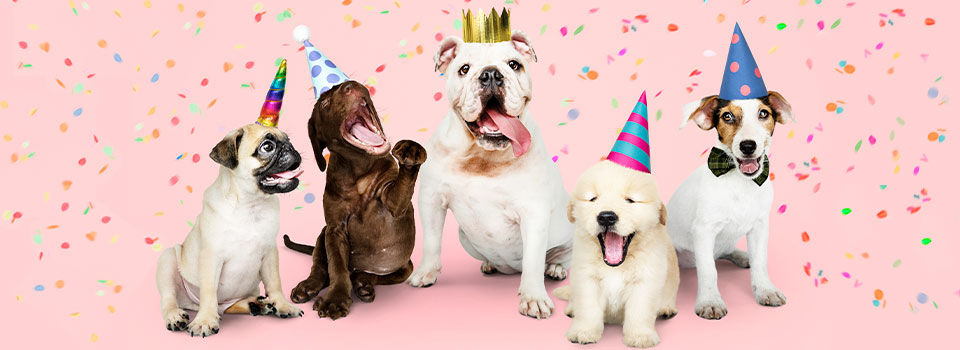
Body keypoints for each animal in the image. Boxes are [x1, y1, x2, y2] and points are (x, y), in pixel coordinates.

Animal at [156, 124, 304, 338]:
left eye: (289, 140)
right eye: (267, 147)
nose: (290, 148)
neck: (250, 204)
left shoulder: (270, 253)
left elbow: (275, 283)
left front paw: (283, 305)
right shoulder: (211, 257)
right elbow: (209, 291)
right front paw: (205, 321)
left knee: (230, 306)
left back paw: (257, 305)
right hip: (168, 260)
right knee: (169, 298)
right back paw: (175, 316)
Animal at [282, 81, 424, 320]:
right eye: (325, 103)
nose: (351, 86)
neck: (360, 168)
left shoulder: (394, 203)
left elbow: (401, 187)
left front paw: (411, 151)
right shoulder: (335, 229)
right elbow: (337, 267)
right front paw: (336, 298)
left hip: (405, 266)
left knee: (379, 276)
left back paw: (363, 284)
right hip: (322, 235)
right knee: (320, 267)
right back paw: (308, 287)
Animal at [404, 29, 568, 318]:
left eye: (514, 64)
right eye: (464, 69)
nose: (491, 74)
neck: (482, 157)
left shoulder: (534, 214)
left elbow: (534, 260)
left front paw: (534, 297)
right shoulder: (431, 200)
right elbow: (432, 241)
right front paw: (426, 273)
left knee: (559, 257)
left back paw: (556, 267)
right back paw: (491, 264)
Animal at [552, 161, 680, 348]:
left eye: (630, 200)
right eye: (593, 198)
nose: (606, 217)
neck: (616, 266)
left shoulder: (645, 280)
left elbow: (640, 311)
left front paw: (640, 336)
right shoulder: (586, 278)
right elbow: (588, 308)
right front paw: (583, 331)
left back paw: (666, 309)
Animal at [668, 91, 796, 320]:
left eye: (764, 113)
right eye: (727, 116)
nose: (748, 146)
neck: (740, 181)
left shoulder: (760, 226)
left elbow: (760, 261)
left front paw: (766, 290)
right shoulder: (704, 231)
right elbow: (709, 270)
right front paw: (710, 301)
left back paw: (743, 256)